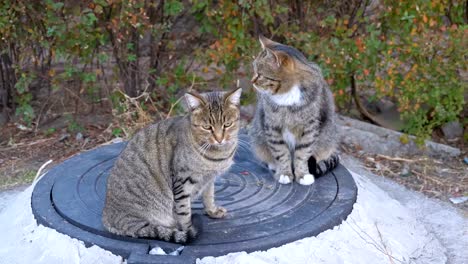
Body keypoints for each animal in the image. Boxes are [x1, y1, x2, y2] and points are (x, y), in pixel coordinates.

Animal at [102, 88, 241, 243]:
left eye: (227, 124)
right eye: (207, 127)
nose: (219, 139)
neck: (217, 154)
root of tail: (107, 217)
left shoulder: (209, 179)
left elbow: (209, 196)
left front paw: (212, 211)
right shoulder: (183, 182)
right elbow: (184, 212)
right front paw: (189, 229)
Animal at [250, 36, 338, 186]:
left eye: (260, 74)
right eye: (254, 70)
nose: (252, 81)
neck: (288, 95)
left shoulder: (309, 128)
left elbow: (303, 154)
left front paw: (302, 174)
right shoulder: (273, 126)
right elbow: (281, 152)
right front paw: (284, 173)